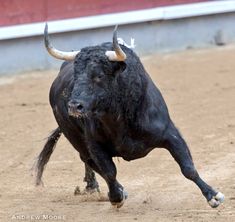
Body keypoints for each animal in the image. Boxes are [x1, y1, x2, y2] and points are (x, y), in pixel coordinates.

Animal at [35, 25, 224, 209]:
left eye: (99, 75)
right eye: (76, 76)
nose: (74, 106)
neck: (119, 118)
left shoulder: (170, 133)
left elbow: (188, 167)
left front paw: (213, 196)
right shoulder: (94, 144)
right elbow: (109, 172)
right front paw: (116, 197)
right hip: (77, 140)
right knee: (88, 160)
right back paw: (100, 187)